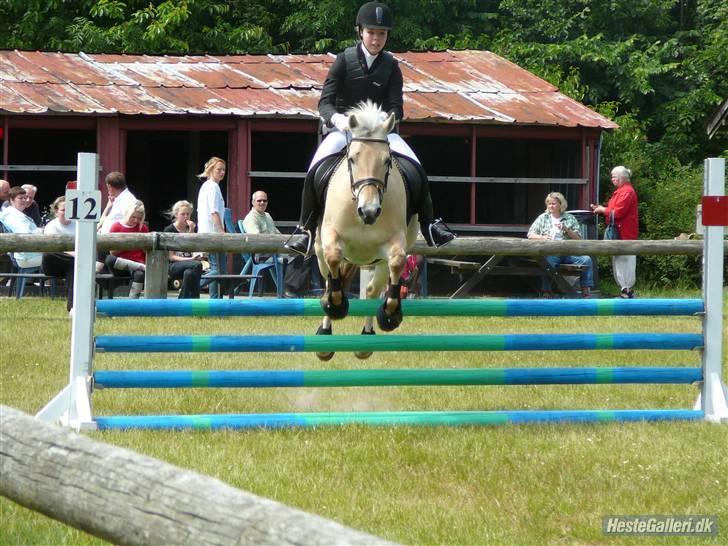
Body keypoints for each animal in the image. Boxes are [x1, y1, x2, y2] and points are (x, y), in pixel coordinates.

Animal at [314, 100, 420, 360]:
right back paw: (325, 334)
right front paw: (336, 305)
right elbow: (334, 260)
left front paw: (390, 314)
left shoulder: (395, 241)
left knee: (372, 291)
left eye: (387, 160)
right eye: (352, 159)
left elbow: (397, 262)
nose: (369, 211)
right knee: (330, 278)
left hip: (376, 261)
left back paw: (366, 340)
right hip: (320, 249)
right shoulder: (331, 235)